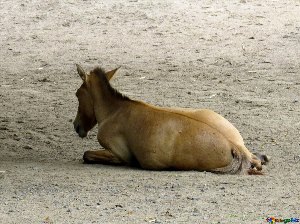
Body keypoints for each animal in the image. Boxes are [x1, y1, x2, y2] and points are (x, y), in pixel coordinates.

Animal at [73, 64, 270, 174]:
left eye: (77, 94)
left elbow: (87, 154)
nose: (77, 126)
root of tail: (234, 146)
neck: (116, 109)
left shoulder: (119, 154)